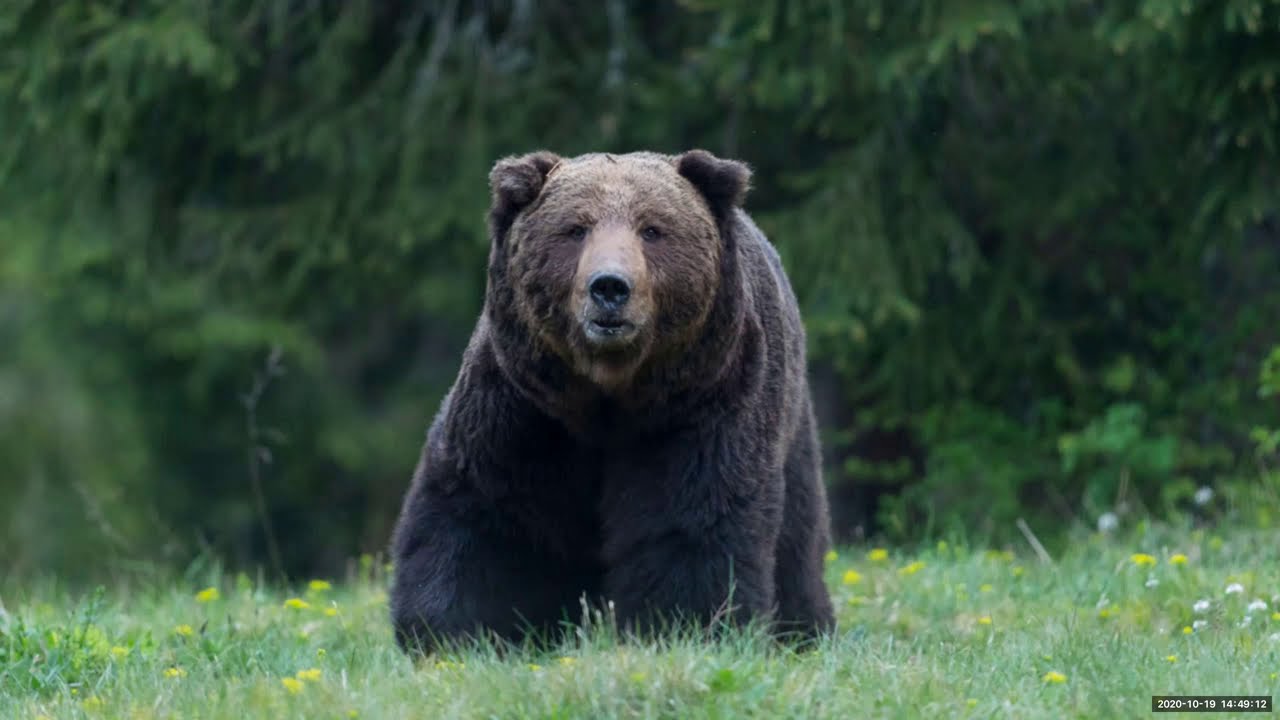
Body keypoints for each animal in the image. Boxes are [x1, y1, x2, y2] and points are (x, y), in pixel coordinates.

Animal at [389, 149, 835, 655]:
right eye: (575, 228)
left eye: (653, 229)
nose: (609, 287)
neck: (607, 398)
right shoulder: (521, 407)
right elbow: (480, 509)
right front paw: (452, 632)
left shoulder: (702, 404)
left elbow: (690, 516)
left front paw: (683, 625)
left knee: (798, 536)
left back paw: (803, 629)